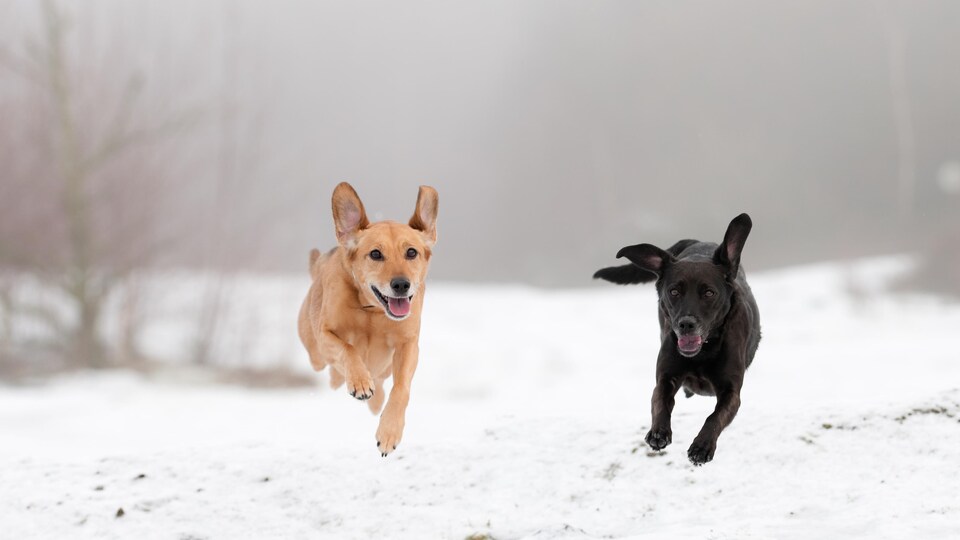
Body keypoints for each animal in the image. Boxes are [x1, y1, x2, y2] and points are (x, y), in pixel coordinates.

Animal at [298, 181, 440, 456]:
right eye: (375, 254)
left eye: (411, 252)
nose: (401, 284)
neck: (373, 312)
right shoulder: (325, 335)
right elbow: (348, 348)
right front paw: (360, 382)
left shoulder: (408, 345)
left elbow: (401, 388)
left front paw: (389, 432)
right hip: (315, 353)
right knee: (330, 370)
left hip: (384, 368)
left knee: (383, 384)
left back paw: (376, 402)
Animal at [592, 213, 756, 466]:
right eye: (674, 291)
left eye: (709, 293)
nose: (686, 324)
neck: (704, 351)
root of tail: (697, 241)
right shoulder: (665, 377)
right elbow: (660, 402)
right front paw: (658, 433)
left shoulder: (731, 392)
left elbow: (714, 417)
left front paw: (702, 446)